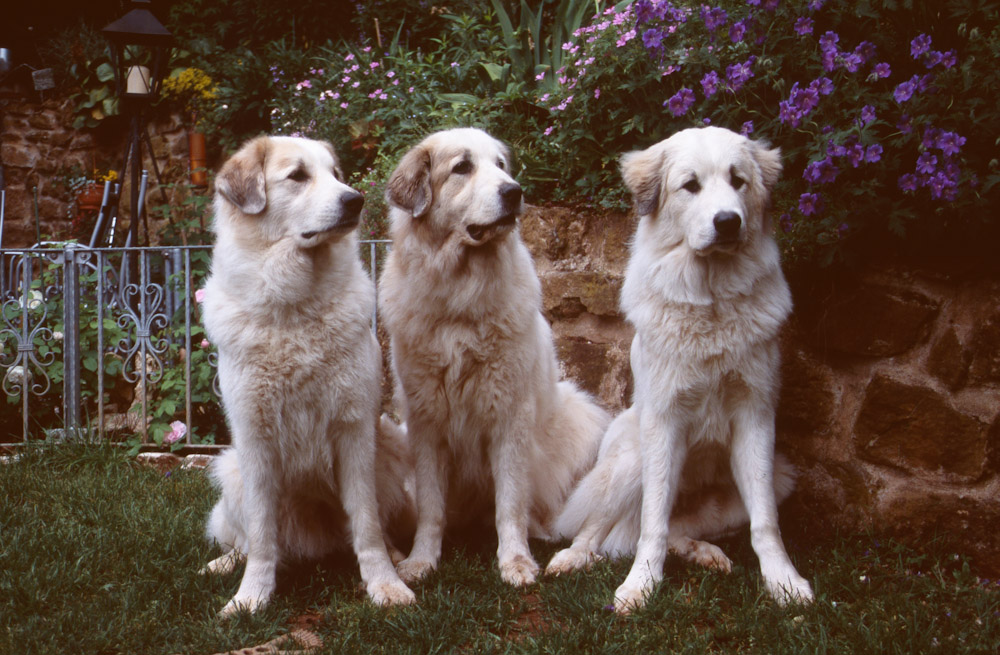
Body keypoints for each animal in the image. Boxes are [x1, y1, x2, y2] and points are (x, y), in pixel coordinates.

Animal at [199, 136, 414, 616]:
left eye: (335, 174)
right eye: (297, 176)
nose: (355, 200)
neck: (294, 308)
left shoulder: (354, 431)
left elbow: (367, 525)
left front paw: (384, 584)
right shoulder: (254, 439)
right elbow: (262, 536)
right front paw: (250, 598)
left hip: (390, 448)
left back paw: (396, 558)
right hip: (231, 469)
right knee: (246, 540)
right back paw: (224, 564)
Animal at [376, 128, 604, 588]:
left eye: (501, 165)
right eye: (462, 167)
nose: (514, 192)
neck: (460, 301)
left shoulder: (510, 417)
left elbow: (510, 503)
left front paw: (515, 561)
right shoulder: (425, 423)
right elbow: (431, 506)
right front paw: (421, 560)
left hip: (581, 414)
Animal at [548, 128, 812, 616]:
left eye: (738, 180)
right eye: (691, 185)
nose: (728, 222)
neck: (711, 301)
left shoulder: (755, 419)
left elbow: (766, 524)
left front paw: (783, 582)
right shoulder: (663, 422)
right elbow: (653, 524)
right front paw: (640, 587)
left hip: (779, 474)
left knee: (670, 532)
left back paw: (704, 553)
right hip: (632, 455)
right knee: (605, 530)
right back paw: (573, 557)